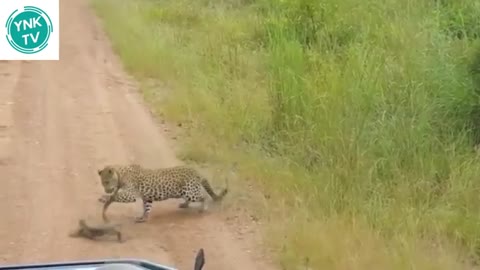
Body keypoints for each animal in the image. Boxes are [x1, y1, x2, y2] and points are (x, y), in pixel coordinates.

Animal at [97, 163, 229, 223]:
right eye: (102, 183)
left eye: (107, 182)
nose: (106, 189)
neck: (121, 174)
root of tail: (195, 170)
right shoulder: (146, 197)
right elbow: (147, 207)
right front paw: (143, 218)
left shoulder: (131, 194)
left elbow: (117, 196)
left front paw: (106, 197)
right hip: (186, 192)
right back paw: (184, 204)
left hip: (190, 191)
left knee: (204, 196)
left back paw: (203, 208)